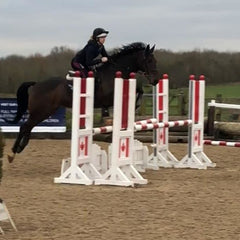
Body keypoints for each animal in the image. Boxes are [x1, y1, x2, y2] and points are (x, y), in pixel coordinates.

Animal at [4, 42, 159, 162]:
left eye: (155, 61)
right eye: (149, 61)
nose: (156, 80)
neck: (115, 70)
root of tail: (36, 85)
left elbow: (139, 89)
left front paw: (136, 104)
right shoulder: (110, 96)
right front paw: (134, 105)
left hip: (45, 111)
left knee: (28, 127)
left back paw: (20, 147)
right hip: (42, 111)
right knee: (24, 127)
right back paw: (12, 153)